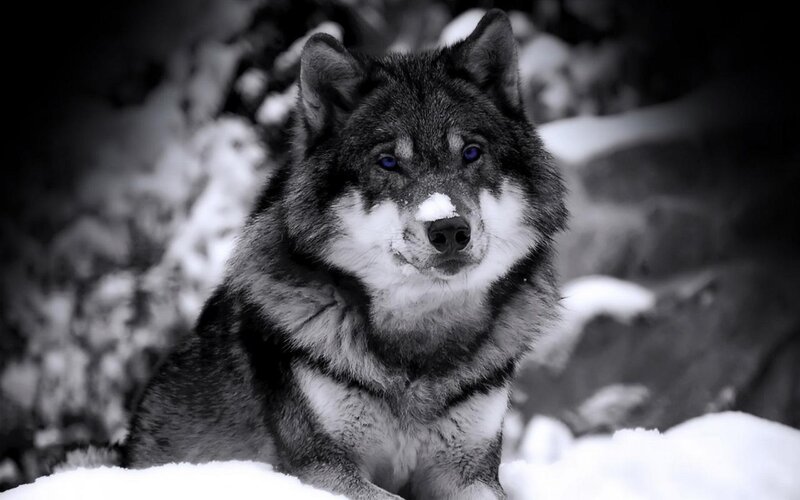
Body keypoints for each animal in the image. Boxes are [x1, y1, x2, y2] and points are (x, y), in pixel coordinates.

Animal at [123, 9, 566, 500]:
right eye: (388, 162)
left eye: (471, 153)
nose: (449, 229)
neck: (419, 345)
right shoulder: (321, 467)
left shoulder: (471, 472)